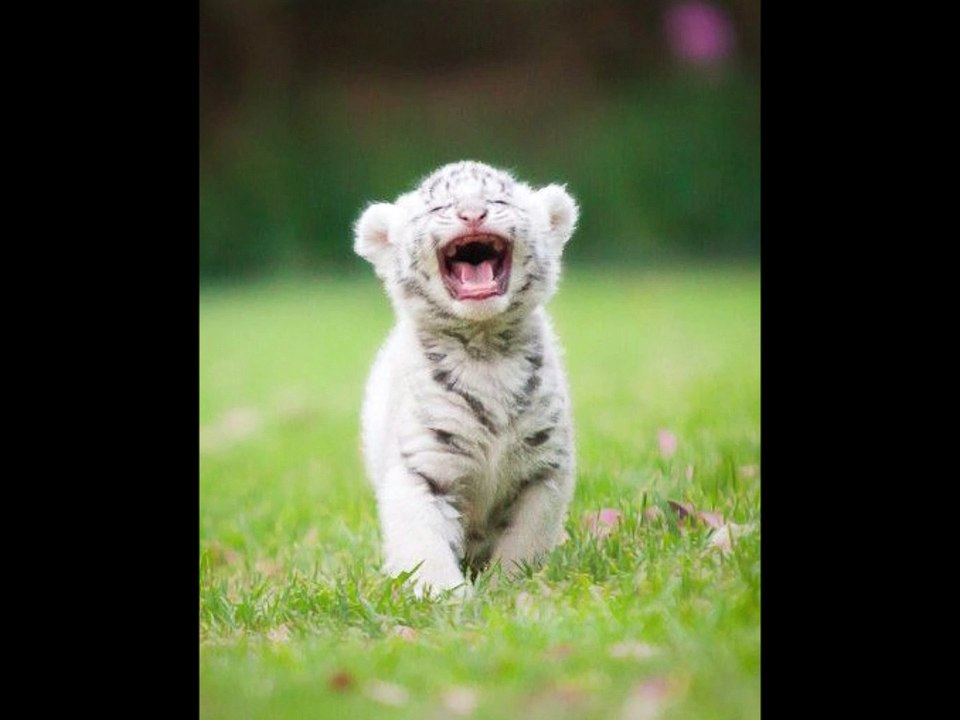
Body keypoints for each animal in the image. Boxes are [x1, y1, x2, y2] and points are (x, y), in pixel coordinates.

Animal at [353, 160, 578, 597]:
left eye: (498, 200)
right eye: (439, 205)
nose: (472, 213)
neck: (485, 347)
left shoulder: (545, 467)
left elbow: (526, 538)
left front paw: (507, 586)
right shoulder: (422, 465)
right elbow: (423, 543)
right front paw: (445, 597)